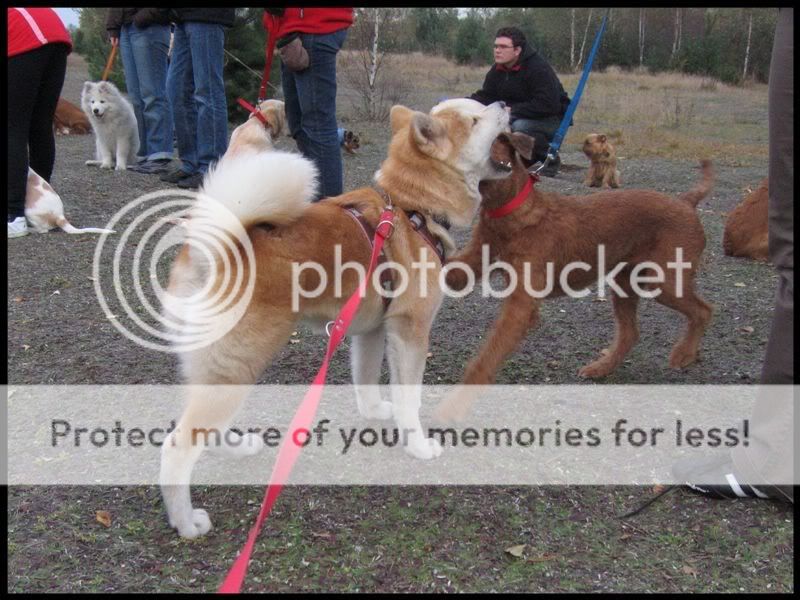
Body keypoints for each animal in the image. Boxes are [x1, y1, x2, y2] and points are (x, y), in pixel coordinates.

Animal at [159, 98, 511, 538]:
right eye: (476, 119)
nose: (504, 102)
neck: (412, 207)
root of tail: (218, 248)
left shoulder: (372, 328)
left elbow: (366, 377)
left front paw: (375, 412)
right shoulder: (411, 331)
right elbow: (408, 398)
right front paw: (417, 445)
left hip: (221, 369)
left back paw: (238, 448)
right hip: (237, 365)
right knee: (177, 448)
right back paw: (186, 522)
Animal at [434, 132, 714, 423]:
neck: (509, 212)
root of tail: (685, 201)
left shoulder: (521, 308)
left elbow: (485, 358)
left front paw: (453, 407)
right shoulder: (470, 264)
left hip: (663, 283)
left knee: (703, 310)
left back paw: (684, 354)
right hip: (624, 284)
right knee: (630, 333)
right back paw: (601, 368)